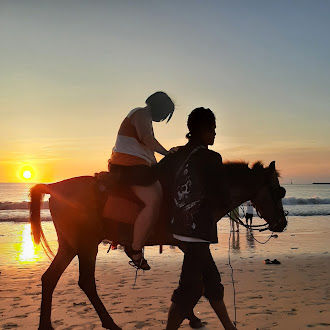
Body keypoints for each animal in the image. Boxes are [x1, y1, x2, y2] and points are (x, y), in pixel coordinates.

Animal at [29, 160, 286, 330]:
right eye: (278, 191)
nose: (282, 223)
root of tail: (54, 187)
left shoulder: (192, 246)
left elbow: (197, 285)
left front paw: (191, 317)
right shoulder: (193, 246)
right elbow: (202, 285)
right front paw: (191, 316)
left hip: (70, 246)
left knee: (50, 278)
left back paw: (46, 325)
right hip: (87, 245)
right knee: (86, 282)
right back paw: (110, 323)